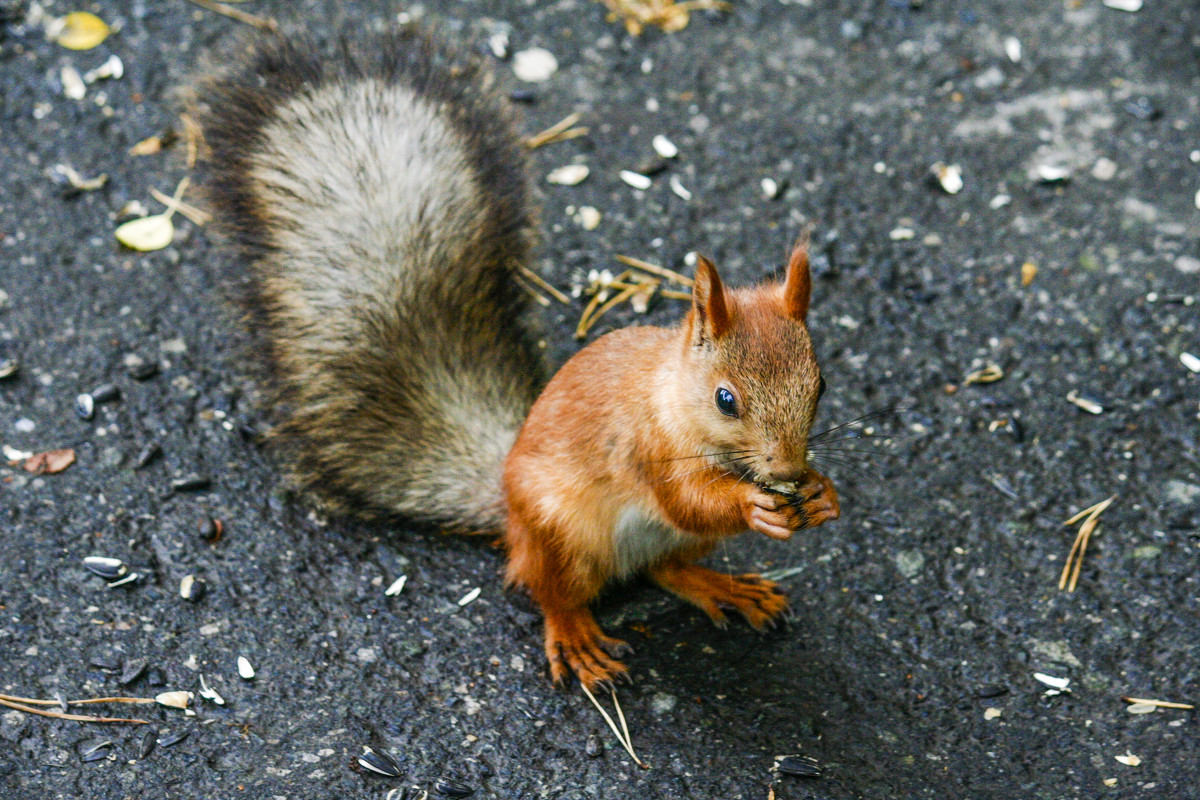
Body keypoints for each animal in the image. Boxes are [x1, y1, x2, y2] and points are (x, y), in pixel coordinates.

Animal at [192, 28, 840, 690]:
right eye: (725, 399)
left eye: (819, 385)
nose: (788, 470)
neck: (671, 395)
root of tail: (506, 505)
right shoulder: (645, 445)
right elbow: (688, 500)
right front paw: (752, 503)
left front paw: (822, 494)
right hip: (561, 535)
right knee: (552, 592)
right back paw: (577, 639)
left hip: (660, 544)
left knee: (666, 568)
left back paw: (727, 588)